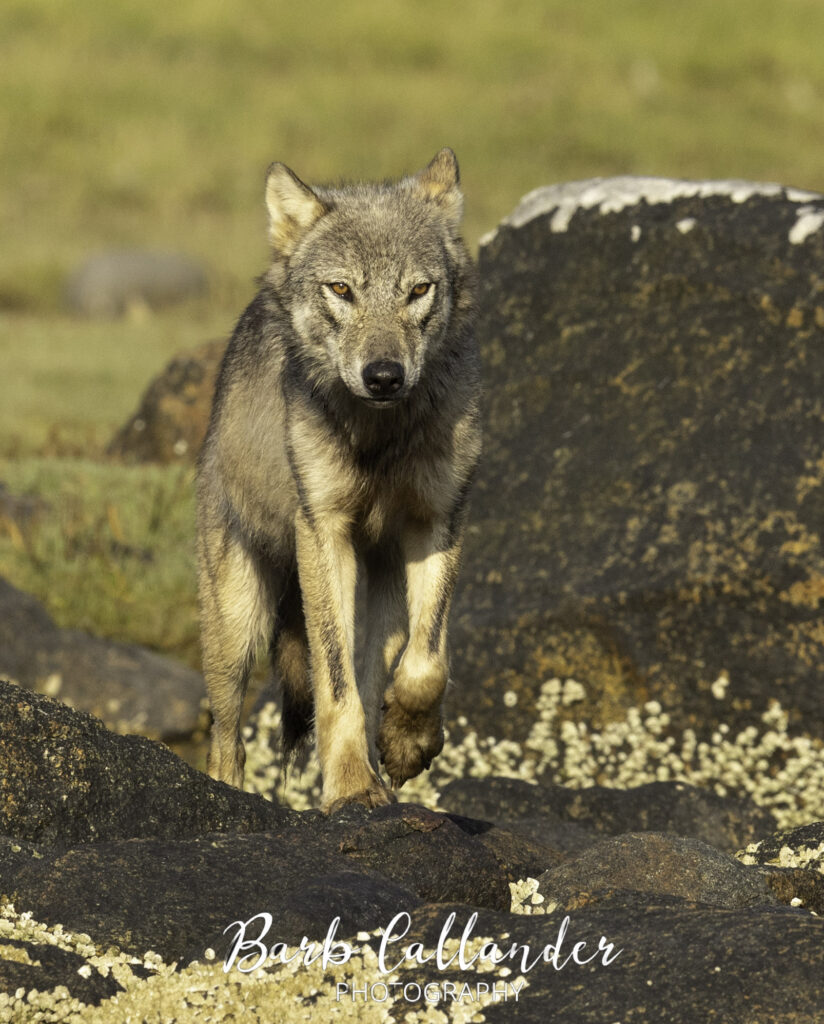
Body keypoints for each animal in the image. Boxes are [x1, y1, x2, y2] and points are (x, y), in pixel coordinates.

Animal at [196, 148, 481, 813]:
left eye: (419, 290)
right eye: (342, 289)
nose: (383, 375)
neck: (380, 440)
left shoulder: (437, 521)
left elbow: (427, 665)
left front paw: (407, 745)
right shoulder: (322, 531)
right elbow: (334, 684)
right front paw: (350, 788)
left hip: (378, 597)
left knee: (376, 672)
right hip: (238, 625)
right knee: (226, 739)